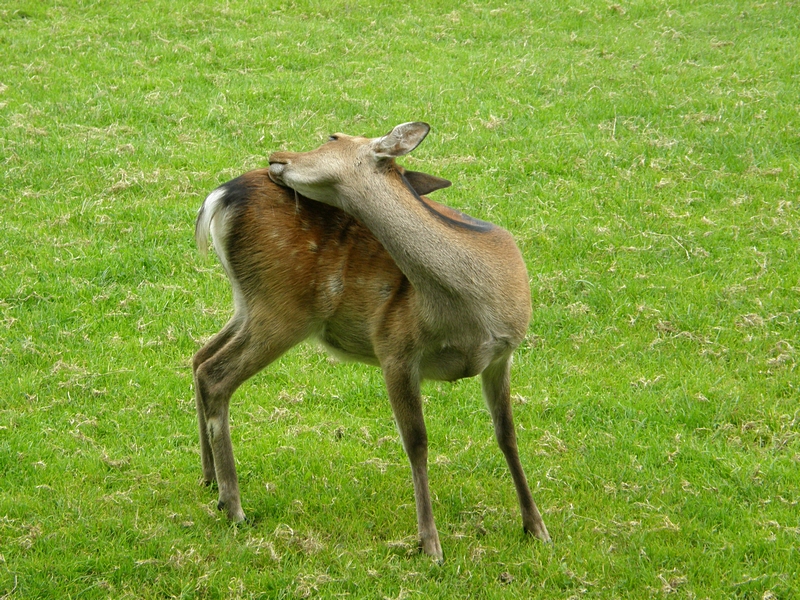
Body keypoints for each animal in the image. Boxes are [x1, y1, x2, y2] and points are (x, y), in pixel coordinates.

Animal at [192, 122, 552, 564]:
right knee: (216, 374)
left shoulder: (503, 354)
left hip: (252, 304)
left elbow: (508, 436)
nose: (277, 155)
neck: (474, 308)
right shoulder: (395, 347)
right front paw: (431, 545)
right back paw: (234, 506)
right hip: (281, 310)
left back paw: (210, 481)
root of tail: (221, 195)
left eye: (332, 137)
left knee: (200, 357)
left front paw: (537, 528)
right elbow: (416, 442)